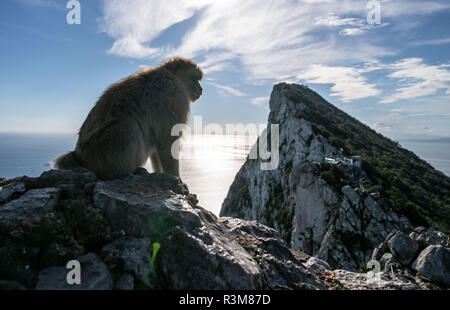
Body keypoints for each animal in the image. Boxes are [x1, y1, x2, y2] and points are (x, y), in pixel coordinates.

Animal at [51, 57, 204, 180]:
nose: (201, 89)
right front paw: (177, 178)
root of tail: (79, 156)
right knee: (127, 125)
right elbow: (167, 139)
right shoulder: (174, 94)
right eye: (194, 78)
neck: (172, 75)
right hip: (103, 150)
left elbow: (158, 142)